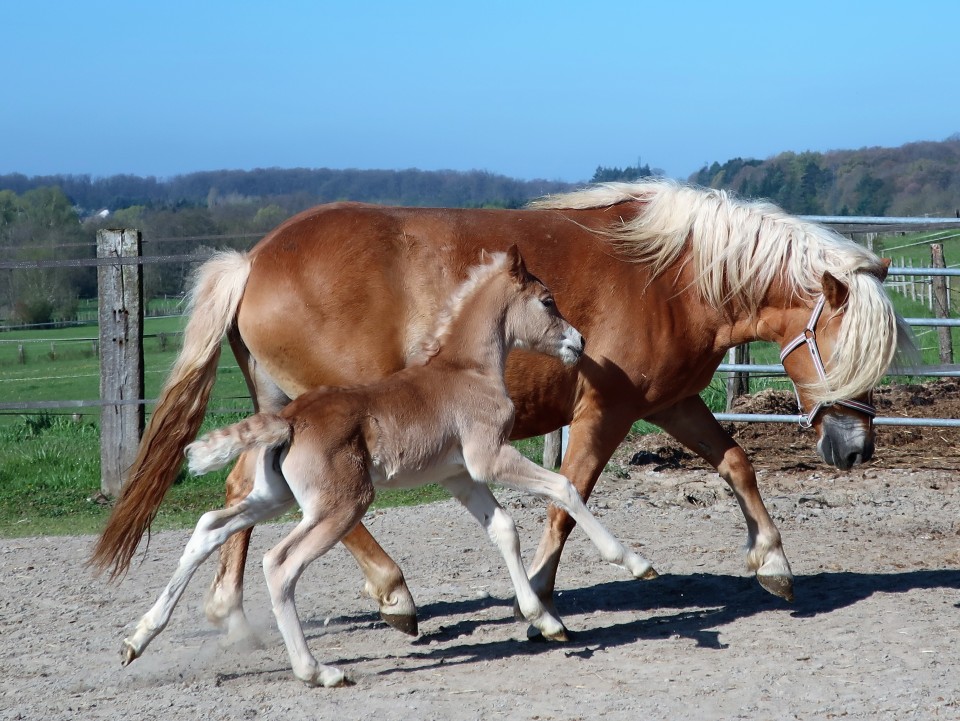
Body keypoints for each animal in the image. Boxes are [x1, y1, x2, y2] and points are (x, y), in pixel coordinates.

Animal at [92, 180, 908, 640]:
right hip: (332, 422)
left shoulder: (670, 402)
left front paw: (772, 560)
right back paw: (393, 595)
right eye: (844, 348)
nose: (855, 447)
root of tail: (254, 259)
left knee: (239, 493)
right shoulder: (606, 409)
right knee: (327, 514)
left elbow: (736, 460)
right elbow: (566, 500)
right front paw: (540, 596)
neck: (672, 276)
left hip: (278, 414)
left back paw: (228, 611)